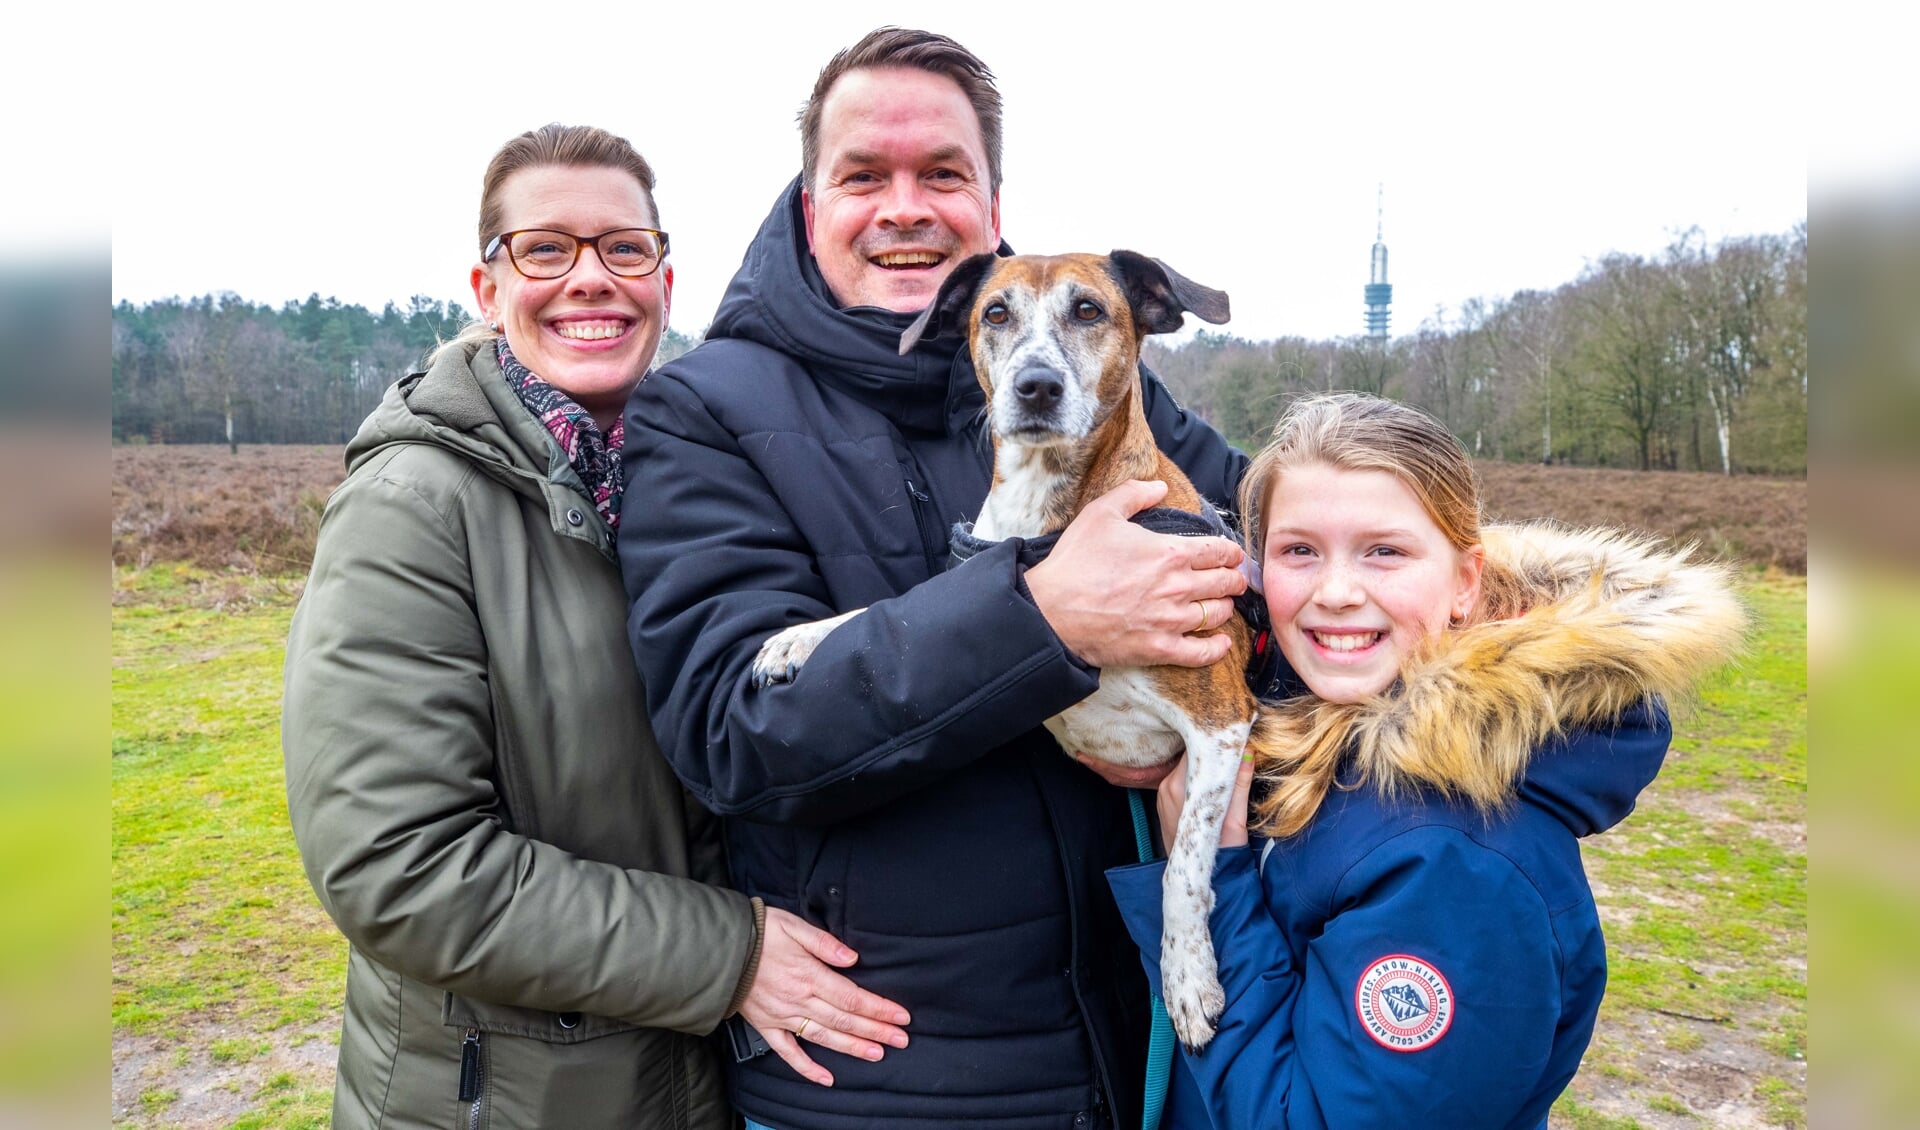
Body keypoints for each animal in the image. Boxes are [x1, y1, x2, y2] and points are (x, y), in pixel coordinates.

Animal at [748, 251, 1259, 1043]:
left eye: (1089, 311)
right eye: (995, 313)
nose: (1036, 385)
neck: (1045, 511)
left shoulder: (1222, 720)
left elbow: (1181, 869)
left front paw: (1185, 976)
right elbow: (891, 612)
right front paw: (800, 637)